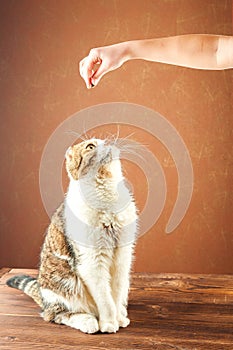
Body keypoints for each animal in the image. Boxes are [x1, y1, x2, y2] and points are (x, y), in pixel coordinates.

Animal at [6, 137, 138, 334]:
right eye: (90, 146)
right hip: (63, 285)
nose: (108, 144)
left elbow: (115, 293)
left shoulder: (122, 257)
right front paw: (108, 323)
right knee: (56, 314)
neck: (107, 196)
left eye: (103, 141)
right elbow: (105, 300)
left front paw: (119, 319)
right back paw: (88, 321)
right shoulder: (92, 262)